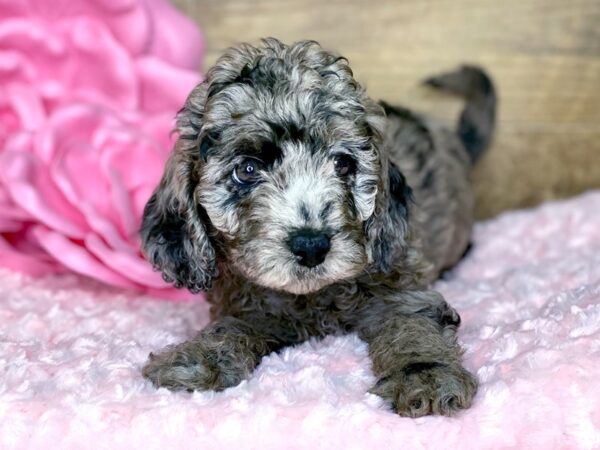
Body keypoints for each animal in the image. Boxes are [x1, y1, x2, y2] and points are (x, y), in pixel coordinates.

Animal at [142, 38, 496, 418]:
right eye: (248, 169)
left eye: (342, 163)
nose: (312, 245)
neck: (313, 298)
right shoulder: (249, 307)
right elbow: (229, 327)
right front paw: (197, 357)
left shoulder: (402, 284)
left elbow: (413, 324)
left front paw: (425, 375)